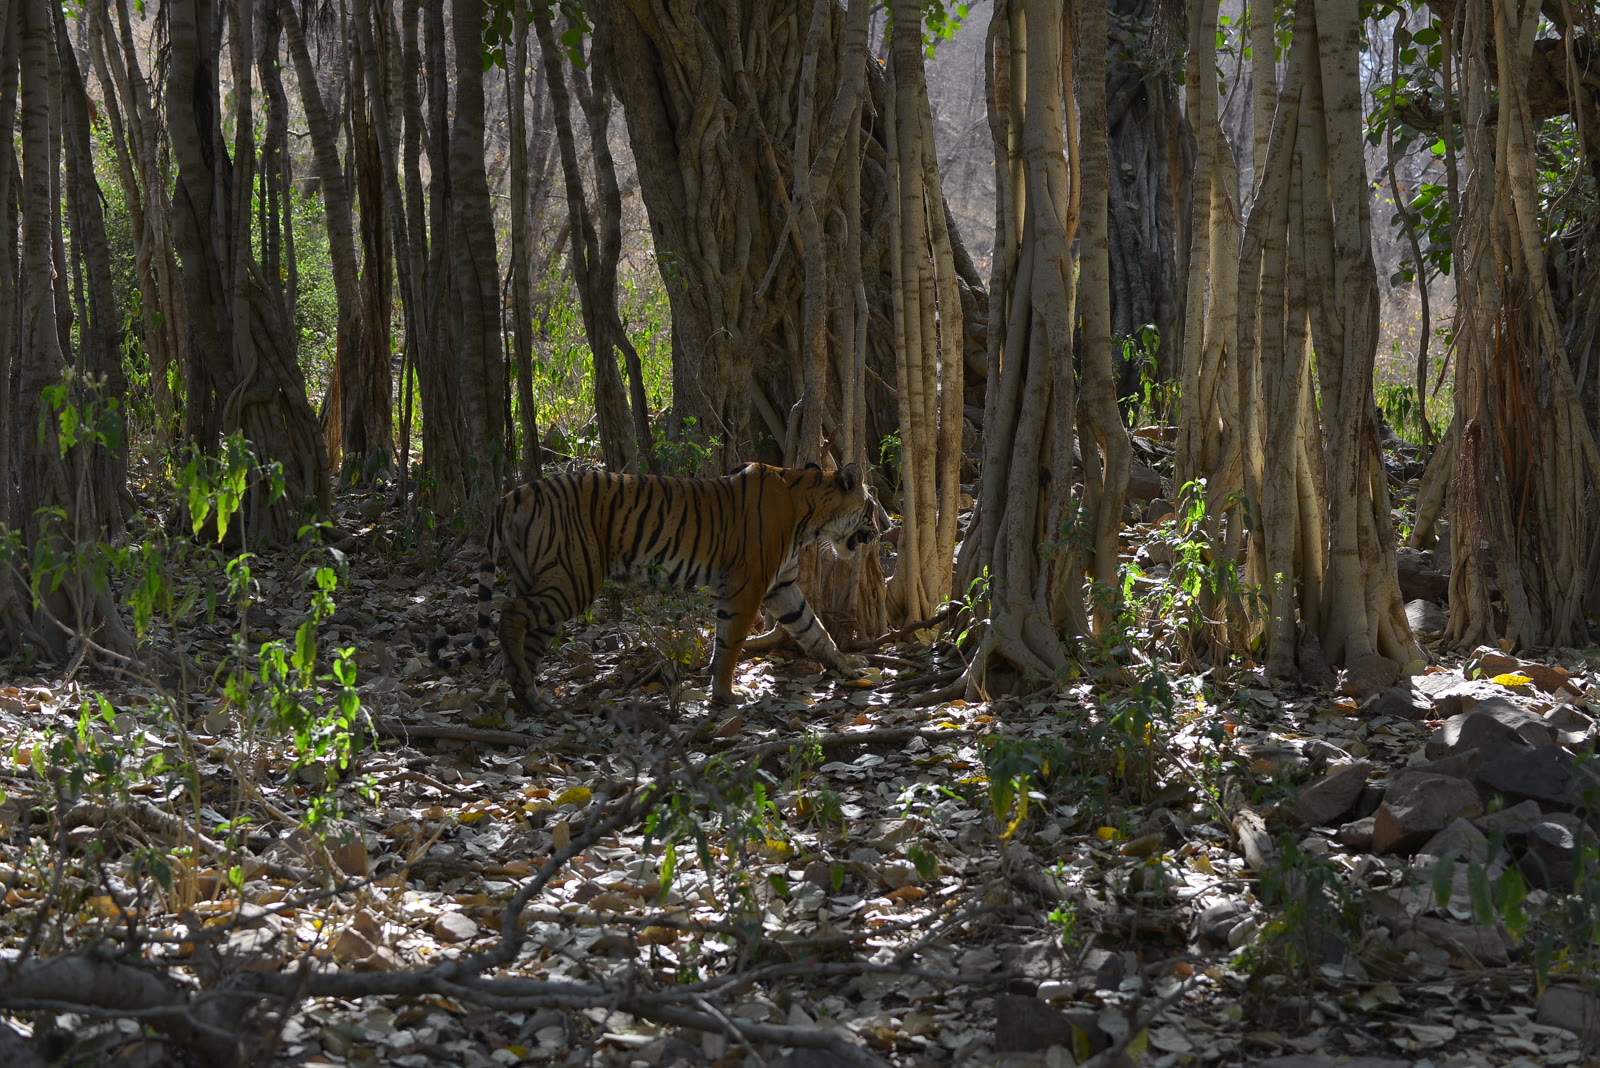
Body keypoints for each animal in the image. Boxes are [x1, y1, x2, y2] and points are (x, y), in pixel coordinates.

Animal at [429, 462, 878, 713]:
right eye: (872, 507)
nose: (886, 526)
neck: (810, 517)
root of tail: (512, 494)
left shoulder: (781, 586)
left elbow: (814, 630)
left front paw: (849, 667)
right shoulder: (747, 586)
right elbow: (730, 644)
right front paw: (725, 696)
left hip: (546, 579)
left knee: (526, 633)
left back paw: (530, 697)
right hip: (573, 579)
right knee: (510, 614)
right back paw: (525, 688)